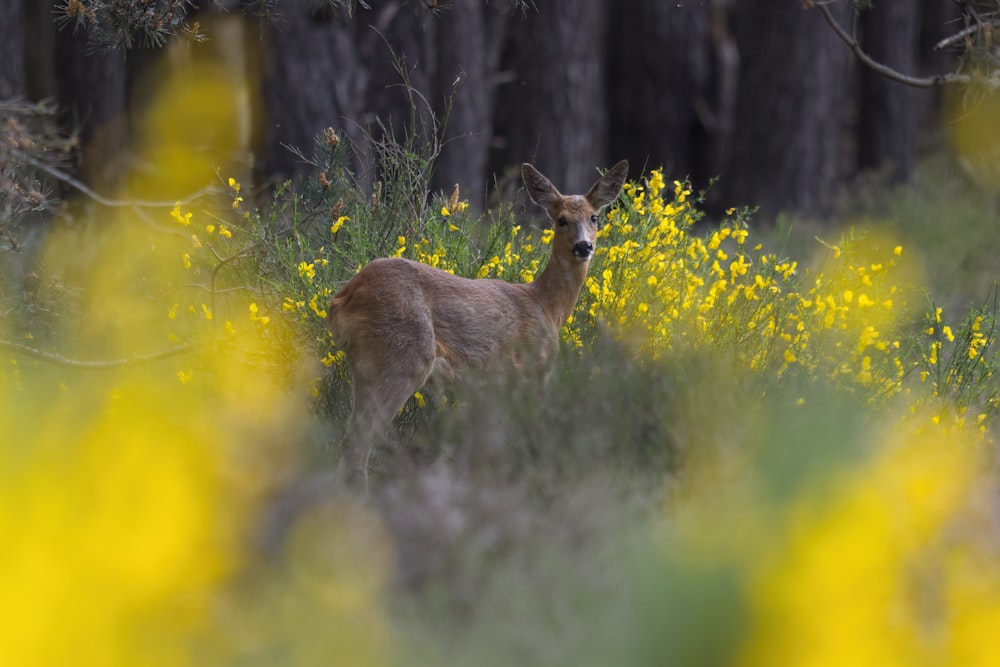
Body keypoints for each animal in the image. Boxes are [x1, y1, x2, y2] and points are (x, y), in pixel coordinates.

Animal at [326, 159, 624, 488]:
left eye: (594, 217)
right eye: (561, 220)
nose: (583, 246)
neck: (545, 306)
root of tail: (341, 299)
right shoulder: (534, 369)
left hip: (366, 368)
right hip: (403, 357)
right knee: (358, 440)